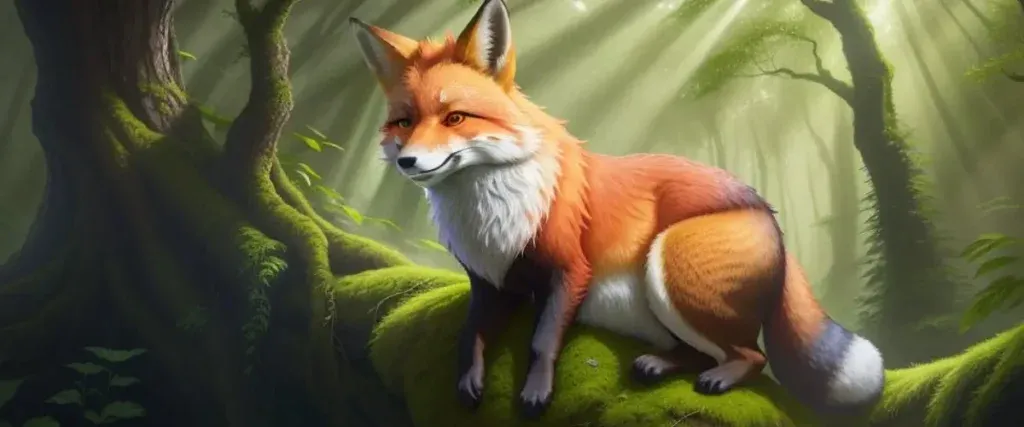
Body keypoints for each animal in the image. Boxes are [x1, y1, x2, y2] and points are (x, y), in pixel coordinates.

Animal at [350, 0, 885, 420]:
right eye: (404, 122)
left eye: (455, 118)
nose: (407, 162)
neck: (488, 214)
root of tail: (764, 208)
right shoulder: (488, 282)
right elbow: (471, 337)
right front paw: (468, 386)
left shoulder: (570, 269)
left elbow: (542, 340)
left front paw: (536, 393)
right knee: (698, 351)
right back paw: (658, 364)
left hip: (671, 270)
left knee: (751, 355)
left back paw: (717, 376)